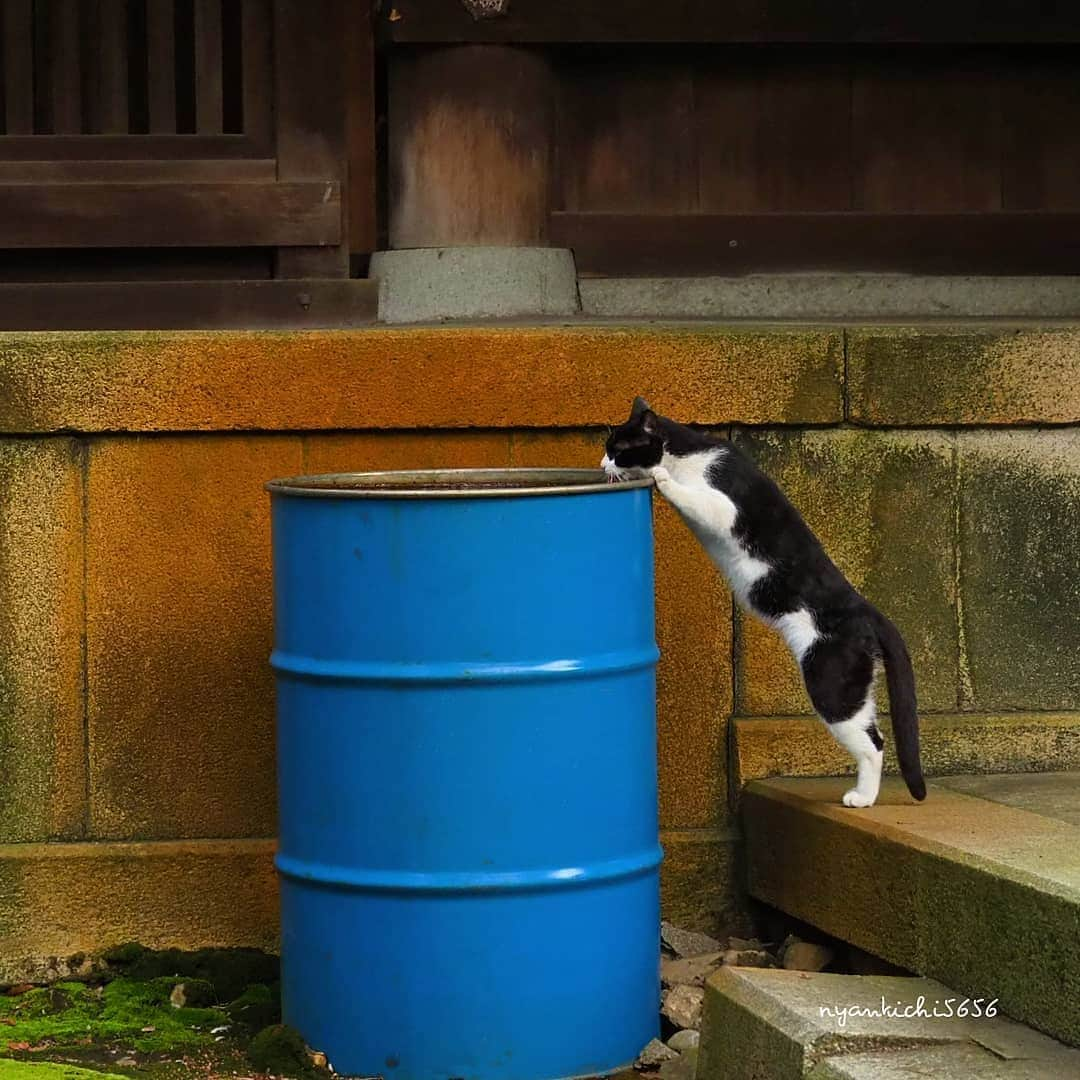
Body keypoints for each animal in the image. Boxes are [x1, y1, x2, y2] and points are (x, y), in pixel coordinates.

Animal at [604, 401, 924, 807]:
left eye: (618, 449)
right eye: (607, 447)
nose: (602, 464)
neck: (686, 452)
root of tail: (865, 608)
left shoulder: (723, 501)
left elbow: (695, 497)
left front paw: (662, 479)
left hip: (831, 678)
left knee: (871, 743)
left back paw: (862, 798)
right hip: (852, 683)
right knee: (875, 733)